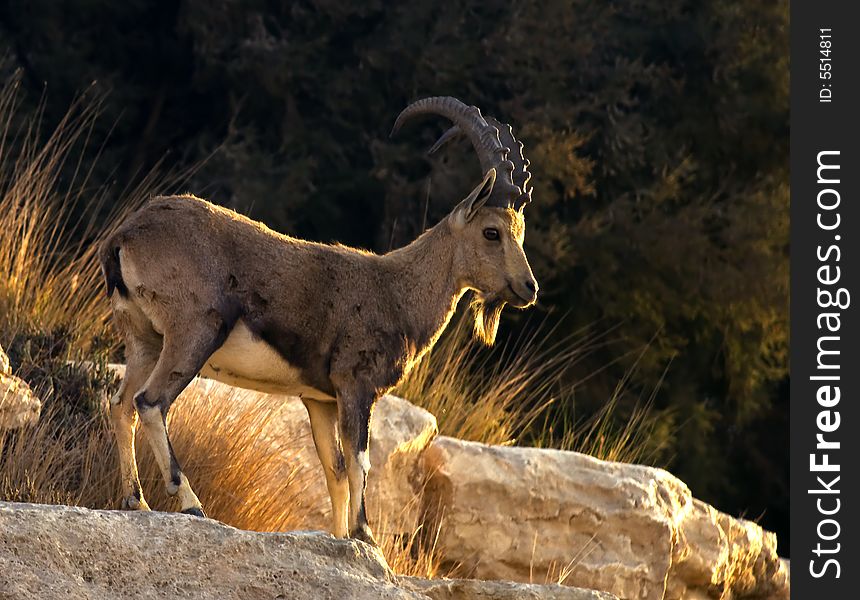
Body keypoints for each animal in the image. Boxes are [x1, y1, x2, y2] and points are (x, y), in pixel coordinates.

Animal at [99, 97, 536, 544]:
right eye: (491, 232)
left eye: (519, 232)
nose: (529, 288)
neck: (396, 290)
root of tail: (126, 236)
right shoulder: (356, 384)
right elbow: (360, 462)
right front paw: (365, 535)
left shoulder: (320, 398)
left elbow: (335, 469)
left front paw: (341, 535)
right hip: (193, 332)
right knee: (150, 402)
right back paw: (190, 503)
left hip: (145, 339)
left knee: (121, 404)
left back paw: (136, 500)